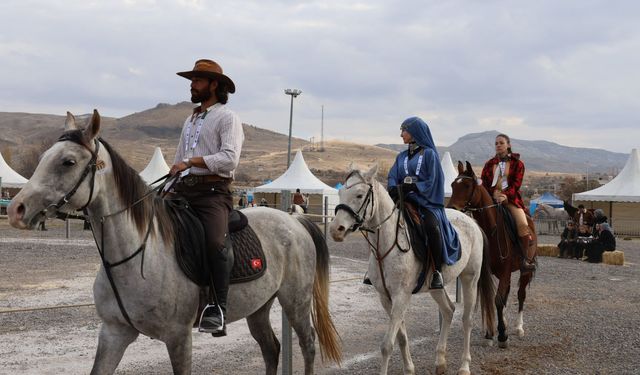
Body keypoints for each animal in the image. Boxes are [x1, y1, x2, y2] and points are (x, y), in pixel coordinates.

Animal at [8, 111, 340, 375]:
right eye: (43, 158)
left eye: (68, 161)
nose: (16, 210)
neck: (136, 257)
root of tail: (293, 220)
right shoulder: (114, 333)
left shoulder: (179, 338)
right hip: (259, 306)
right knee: (271, 348)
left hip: (296, 301)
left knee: (308, 345)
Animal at [328, 166, 492, 375]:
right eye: (340, 193)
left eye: (359, 195)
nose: (336, 230)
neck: (387, 244)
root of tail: (472, 222)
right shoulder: (386, 297)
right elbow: (401, 338)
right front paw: (409, 368)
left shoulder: (401, 296)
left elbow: (386, 345)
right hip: (435, 286)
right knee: (448, 310)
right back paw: (440, 361)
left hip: (470, 278)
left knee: (467, 319)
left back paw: (464, 366)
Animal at [448, 162, 536, 350]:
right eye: (452, 185)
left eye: (467, 186)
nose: (452, 209)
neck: (493, 230)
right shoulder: (485, 273)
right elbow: (488, 300)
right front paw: (490, 334)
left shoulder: (504, 272)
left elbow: (497, 300)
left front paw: (502, 336)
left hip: (525, 270)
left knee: (520, 294)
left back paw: (519, 328)